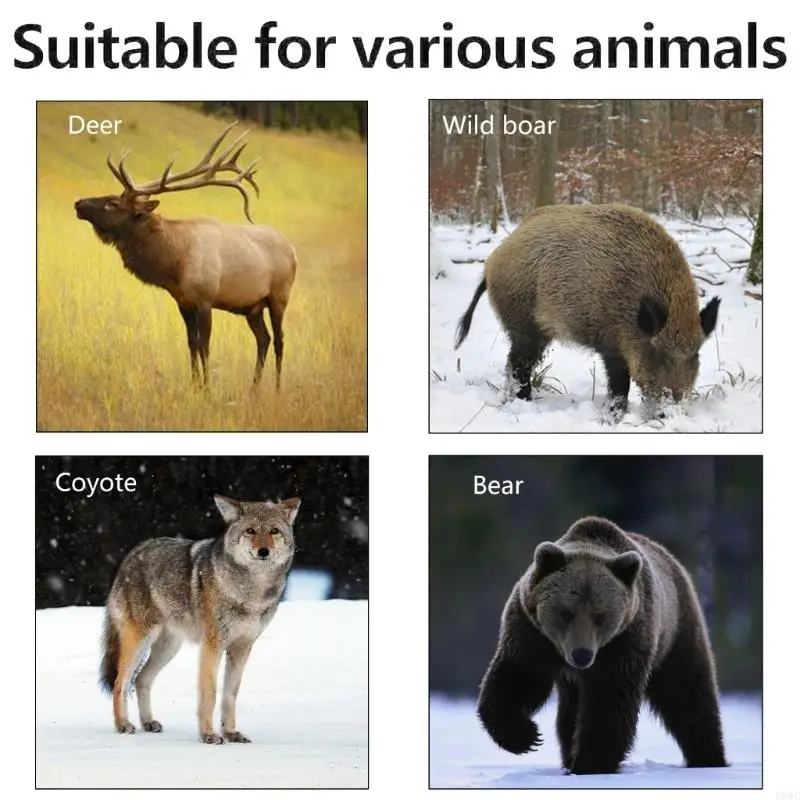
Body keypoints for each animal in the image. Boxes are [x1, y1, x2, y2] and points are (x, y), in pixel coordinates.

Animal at [74, 122, 297, 390]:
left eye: (112, 203)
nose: (78, 203)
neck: (174, 264)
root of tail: (292, 250)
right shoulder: (183, 302)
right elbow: (191, 344)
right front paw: (194, 386)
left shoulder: (205, 298)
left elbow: (205, 347)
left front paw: (207, 389)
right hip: (252, 307)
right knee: (263, 339)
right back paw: (253, 390)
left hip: (279, 297)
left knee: (280, 341)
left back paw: (276, 390)